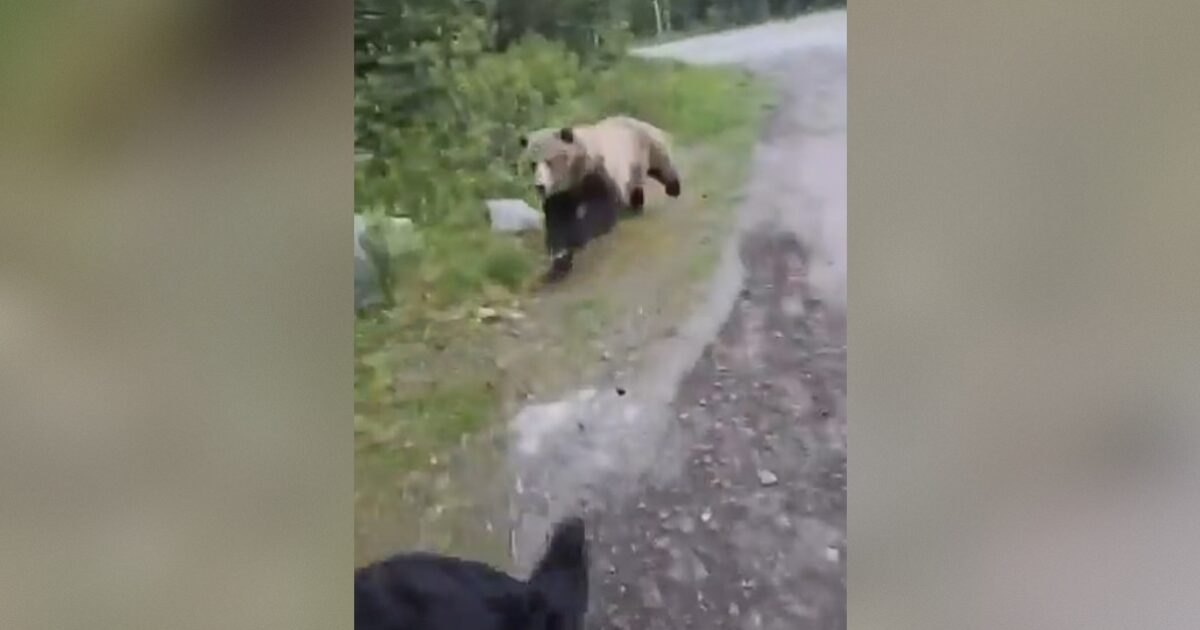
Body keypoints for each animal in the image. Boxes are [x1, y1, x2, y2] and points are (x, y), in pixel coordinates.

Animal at [519, 116, 683, 282]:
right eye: (533, 164)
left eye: (550, 161)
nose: (540, 186)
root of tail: (632, 119)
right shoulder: (560, 194)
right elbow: (558, 221)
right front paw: (559, 261)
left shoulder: (598, 172)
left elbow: (601, 209)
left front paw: (580, 237)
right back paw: (634, 208)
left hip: (644, 147)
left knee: (662, 165)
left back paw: (673, 189)